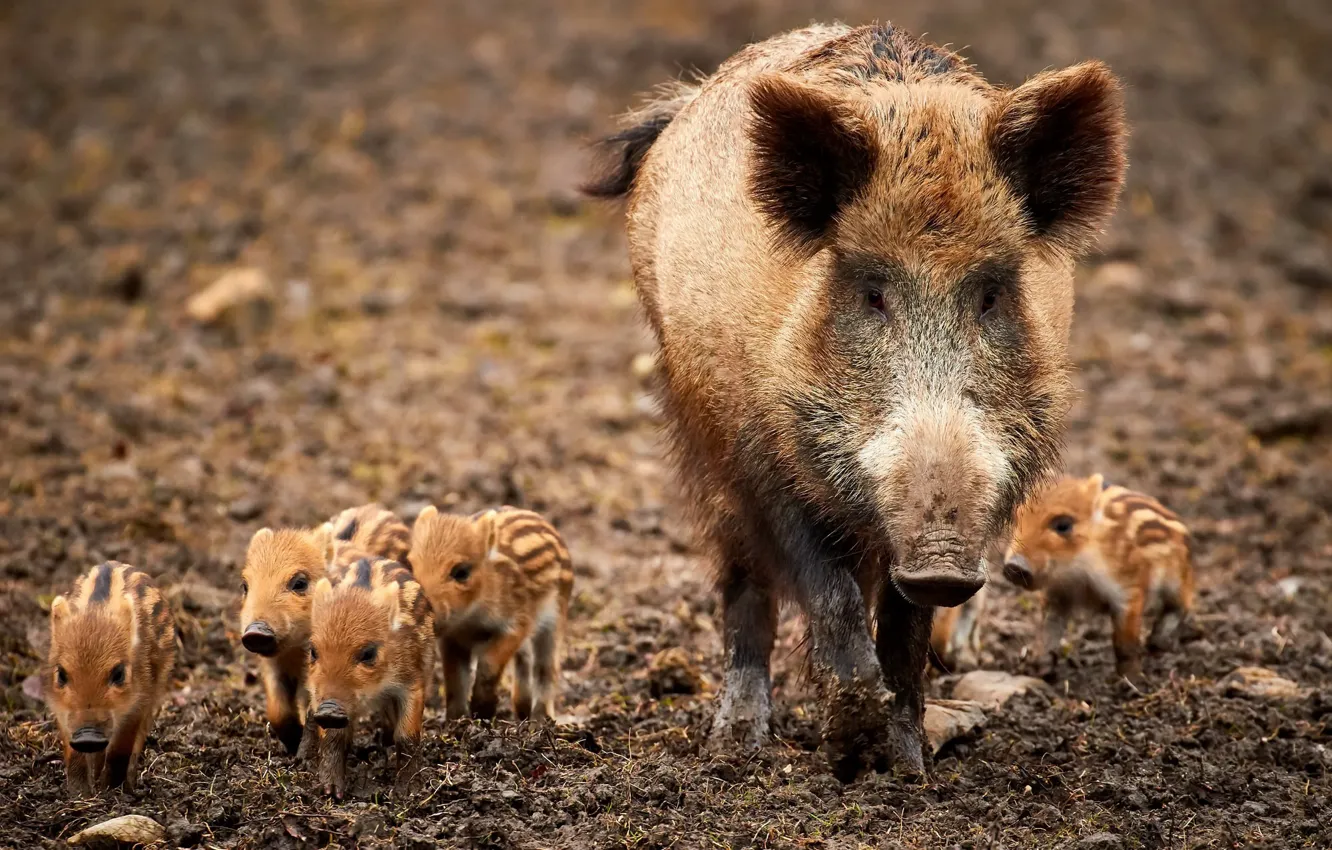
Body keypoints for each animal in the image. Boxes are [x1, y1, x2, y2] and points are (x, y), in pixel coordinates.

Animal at [45, 561, 177, 795]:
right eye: (61, 674)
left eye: (119, 673)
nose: (88, 736)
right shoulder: (62, 710)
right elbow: (74, 753)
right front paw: (80, 795)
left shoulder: (139, 702)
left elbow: (121, 748)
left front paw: (112, 791)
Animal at [307, 556, 434, 799]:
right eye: (313, 651)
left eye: (368, 653)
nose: (329, 708)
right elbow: (333, 736)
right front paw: (331, 792)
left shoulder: (412, 682)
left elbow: (407, 735)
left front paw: (407, 792)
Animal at [410, 505, 574, 722]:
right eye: (412, 566)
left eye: (461, 572)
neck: (471, 616)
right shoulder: (451, 638)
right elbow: (454, 676)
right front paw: (457, 720)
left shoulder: (517, 623)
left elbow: (489, 663)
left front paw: (482, 713)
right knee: (524, 660)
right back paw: (522, 712)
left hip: (556, 618)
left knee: (546, 667)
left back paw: (540, 719)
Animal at [584, 22, 1127, 778]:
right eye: (872, 293)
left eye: (992, 294)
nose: (940, 558)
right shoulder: (762, 456)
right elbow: (830, 595)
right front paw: (845, 752)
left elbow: (904, 633)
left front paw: (907, 768)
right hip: (698, 431)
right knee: (742, 581)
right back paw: (736, 743)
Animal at [1003, 473, 1195, 681]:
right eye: (1016, 517)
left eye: (1063, 525)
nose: (1013, 566)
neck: (1077, 569)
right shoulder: (1056, 594)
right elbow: (1048, 631)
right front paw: (1033, 669)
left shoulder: (1128, 590)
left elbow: (1125, 642)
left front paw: (1132, 679)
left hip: (1178, 576)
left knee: (1183, 602)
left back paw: (1157, 643)